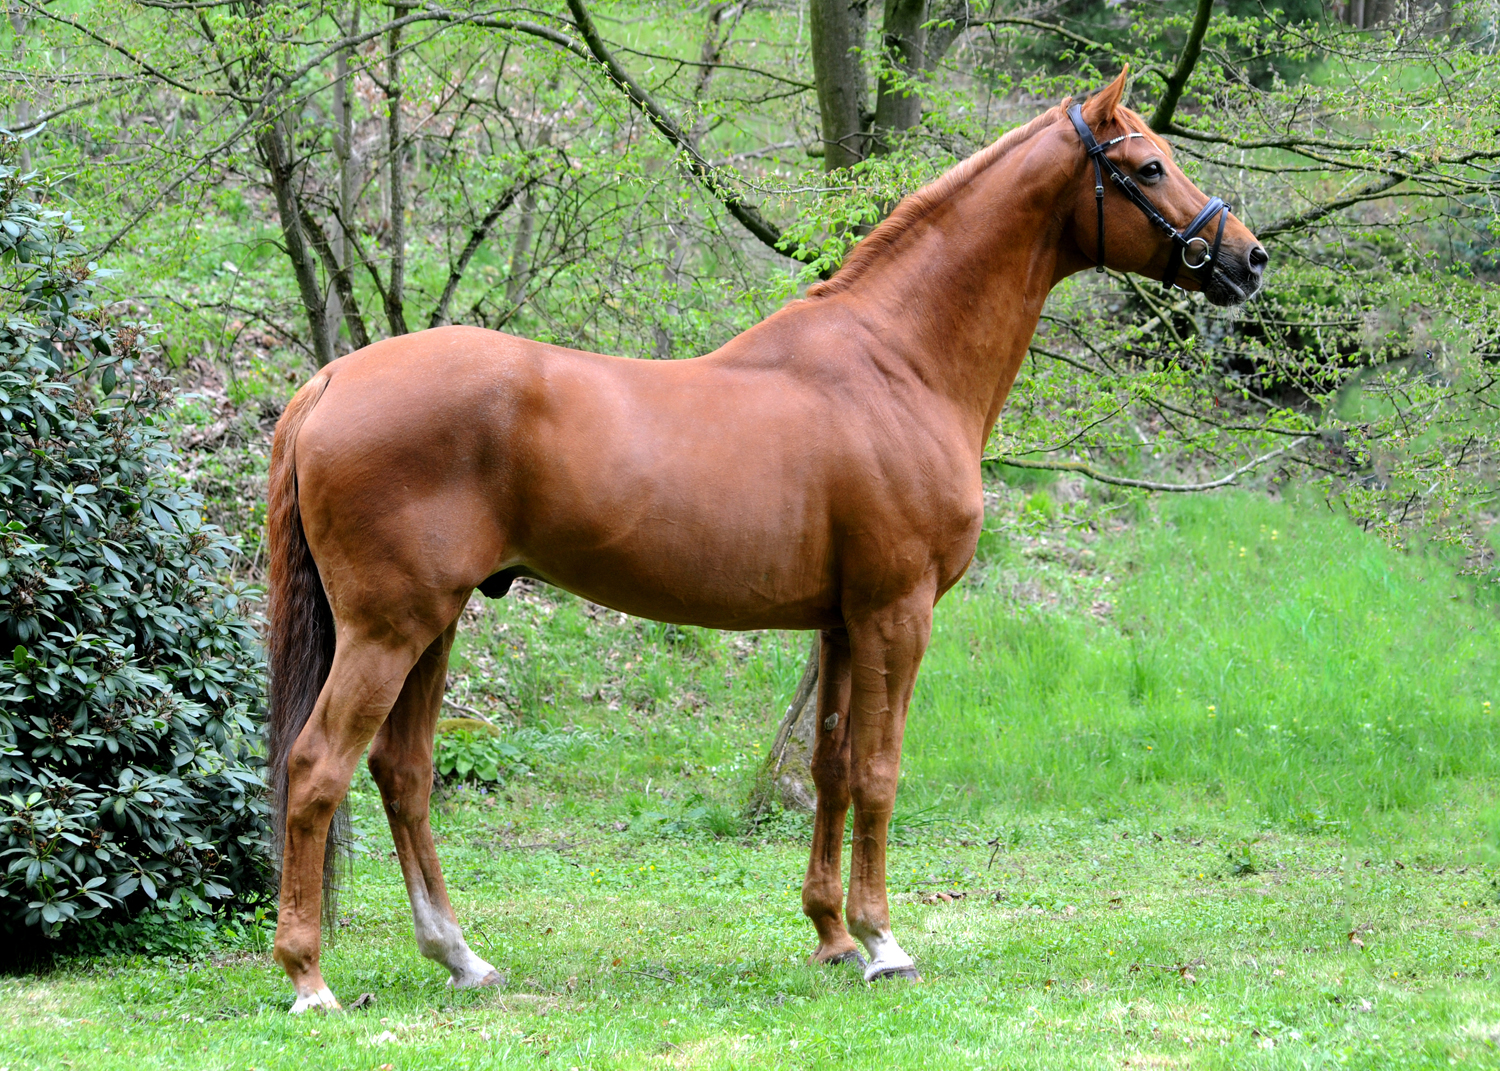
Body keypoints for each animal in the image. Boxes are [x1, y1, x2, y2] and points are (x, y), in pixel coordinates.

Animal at [264, 73, 1260, 1008]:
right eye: (1148, 167)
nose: (1248, 259)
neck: (899, 363)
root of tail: (331, 379)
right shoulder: (897, 612)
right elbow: (879, 770)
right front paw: (884, 942)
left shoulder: (843, 622)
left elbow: (829, 766)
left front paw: (831, 935)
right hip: (390, 629)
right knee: (316, 769)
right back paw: (309, 977)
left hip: (435, 626)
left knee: (401, 771)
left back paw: (460, 955)